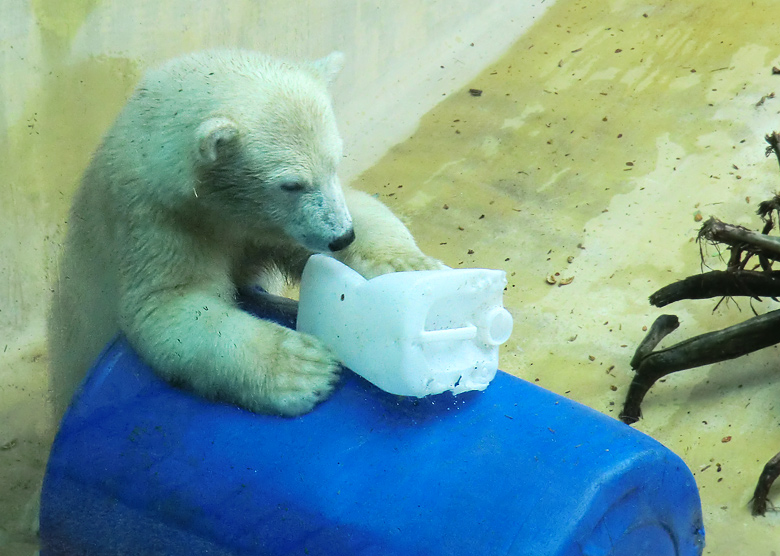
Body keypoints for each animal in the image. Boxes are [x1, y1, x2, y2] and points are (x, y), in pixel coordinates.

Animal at [48, 50, 442, 420]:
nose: (342, 237)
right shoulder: (154, 221)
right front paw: (304, 368)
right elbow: (170, 304)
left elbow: (359, 209)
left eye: (335, 163)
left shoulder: (266, 224)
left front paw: (409, 265)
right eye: (291, 184)